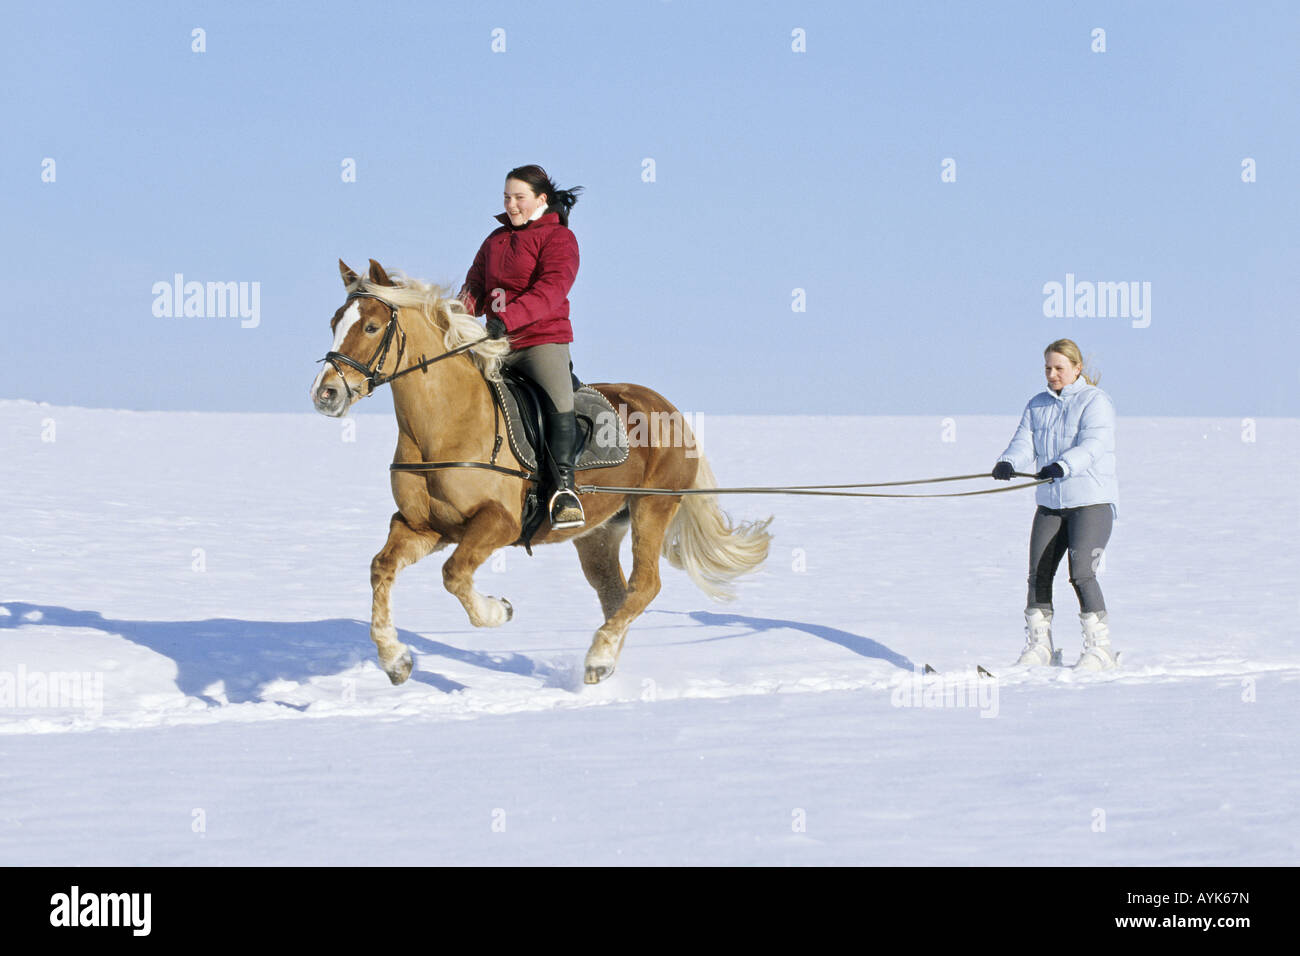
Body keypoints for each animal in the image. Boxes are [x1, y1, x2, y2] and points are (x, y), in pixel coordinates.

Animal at [308, 257, 764, 686]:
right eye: (334, 322)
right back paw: (603, 662)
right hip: (598, 532)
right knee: (615, 592)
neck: (446, 425)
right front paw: (395, 660)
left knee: (645, 585)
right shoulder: (424, 526)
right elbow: (382, 568)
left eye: (371, 326)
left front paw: (499, 611)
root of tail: (669, 409)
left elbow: (454, 574)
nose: (325, 393)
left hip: (652, 509)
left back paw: (597, 656)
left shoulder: (498, 522)